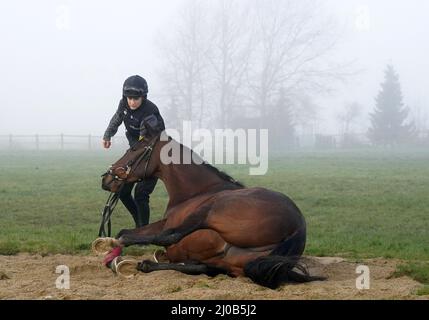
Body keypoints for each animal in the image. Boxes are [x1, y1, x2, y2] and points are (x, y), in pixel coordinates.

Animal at [98, 132, 324, 290]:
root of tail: (298, 226)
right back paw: (146, 264)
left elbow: (136, 234)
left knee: (170, 237)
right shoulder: (163, 222)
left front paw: (111, 247)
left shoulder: (171, 224)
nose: (106, 179)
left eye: (134, 148)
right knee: (204, 267)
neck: (196, 191)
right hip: (233, 262)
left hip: (213, 209)